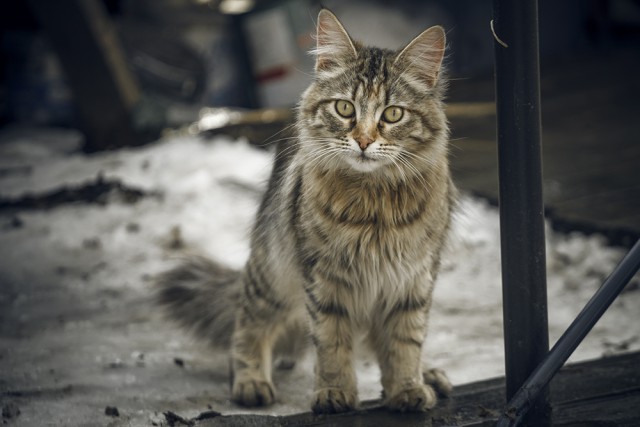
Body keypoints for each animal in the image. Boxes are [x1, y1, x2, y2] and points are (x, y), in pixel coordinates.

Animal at [156, 7, 456, 414]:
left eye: (393, 114)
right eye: (344, 108)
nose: (363, 141)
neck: (374, 204)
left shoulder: (412, 281)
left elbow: (404, 345)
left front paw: (407, 388)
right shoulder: (324, 279)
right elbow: (332, 345)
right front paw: (334, 393)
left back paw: (429, 376)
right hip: (273, 272)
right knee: (248, 323)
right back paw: (250, 381)